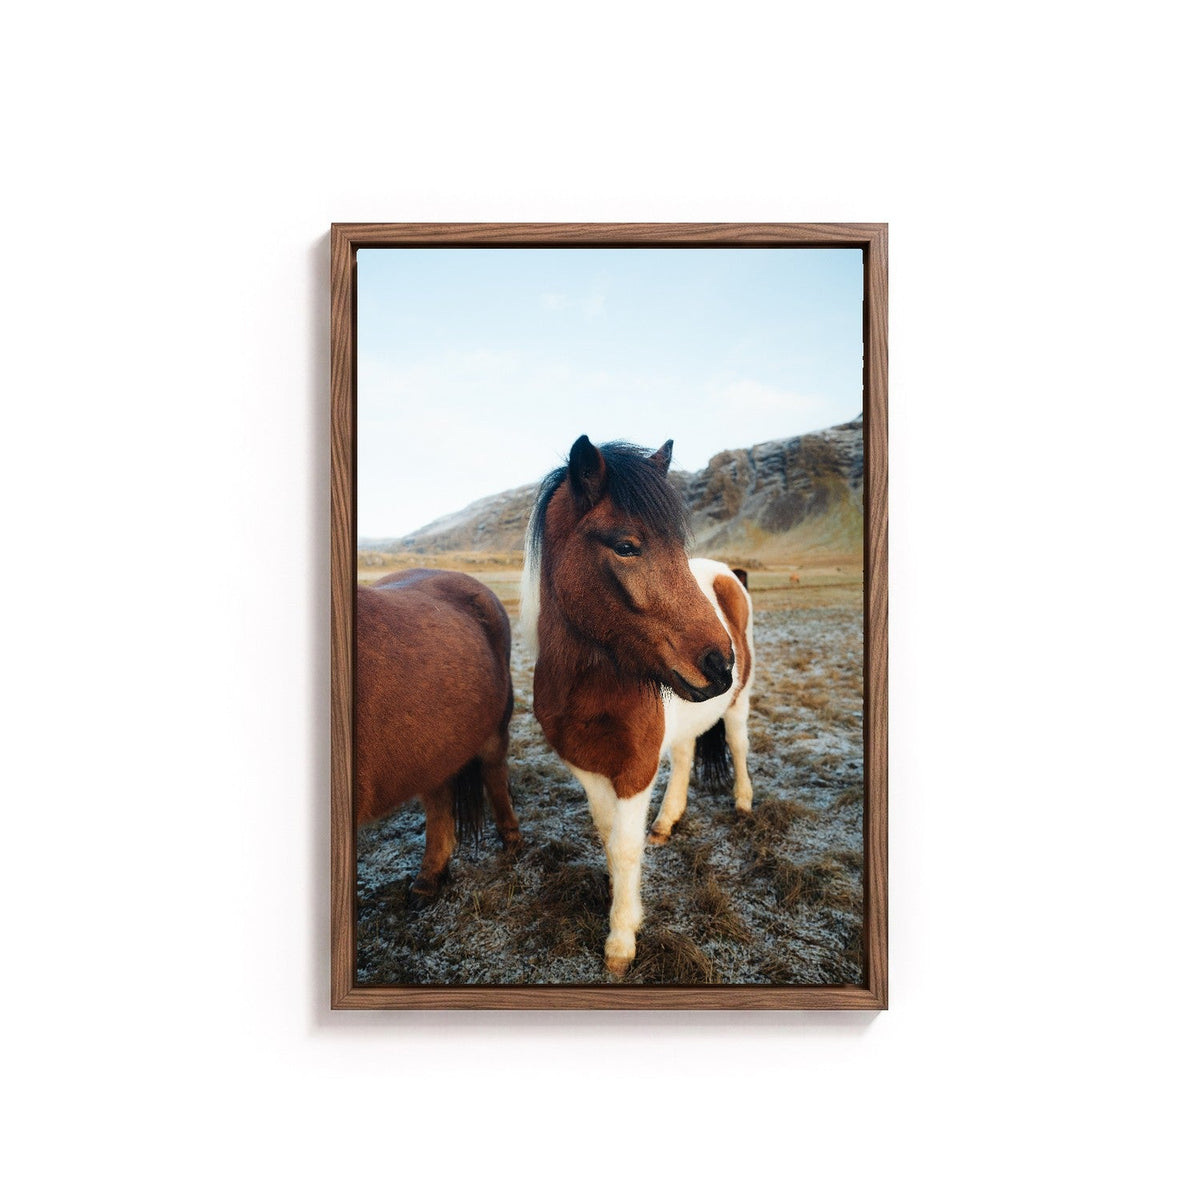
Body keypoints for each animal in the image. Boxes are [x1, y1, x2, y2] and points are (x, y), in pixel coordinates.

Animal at [355, 568, 521, 903]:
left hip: (494, 732)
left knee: (494, 775)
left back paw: (511, 840)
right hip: (435, 749)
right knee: (439, 801)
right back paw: (429, 879)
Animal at [521, 436, 754, 976]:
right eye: (626, 546)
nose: (720, 665)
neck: (590, 688)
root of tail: (728, 574)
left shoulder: (636, 769)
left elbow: (626, 849)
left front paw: (622, 937)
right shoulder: (587, 766)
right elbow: (609, 837)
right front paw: (619, 904)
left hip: (739, 705)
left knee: (738, 745)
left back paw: (743, 802)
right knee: (687, 758)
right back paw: (667, 823)